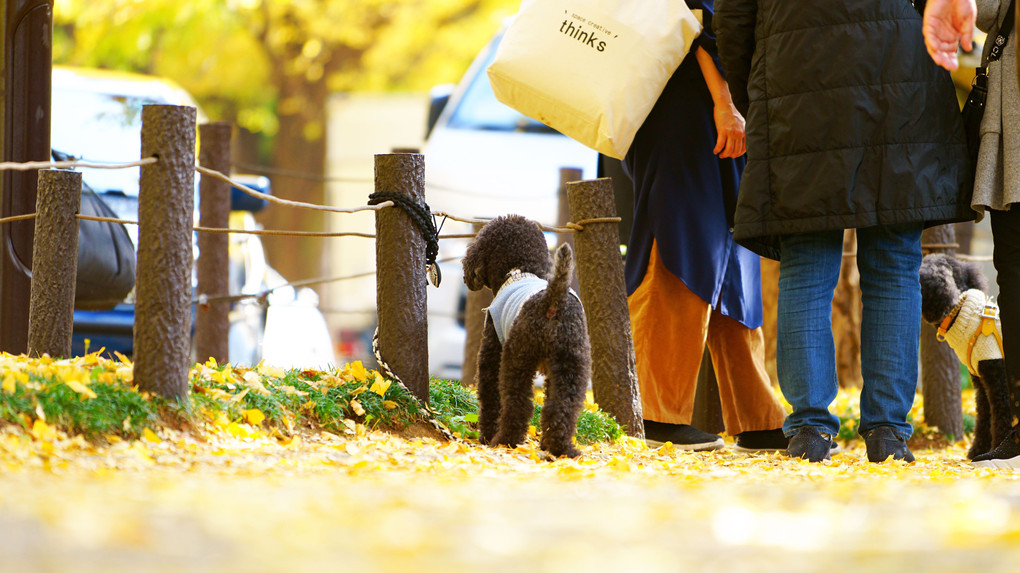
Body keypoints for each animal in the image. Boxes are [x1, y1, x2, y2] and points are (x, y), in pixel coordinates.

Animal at [461, 212, 591, 456]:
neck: (519, 269)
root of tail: (552, 299)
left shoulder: (491, 357)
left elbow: (490, 399)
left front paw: (485, 435)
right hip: (572, 366)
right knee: (562, 407)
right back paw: (560, 448)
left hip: (516, 359)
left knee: (517, 404)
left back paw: (503, 441)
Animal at [918, 251, 1011, 456]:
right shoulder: (981, 383)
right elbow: (984, 416)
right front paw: (977, 451)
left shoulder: (998, 378)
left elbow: (1002, 416)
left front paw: (998, 449)